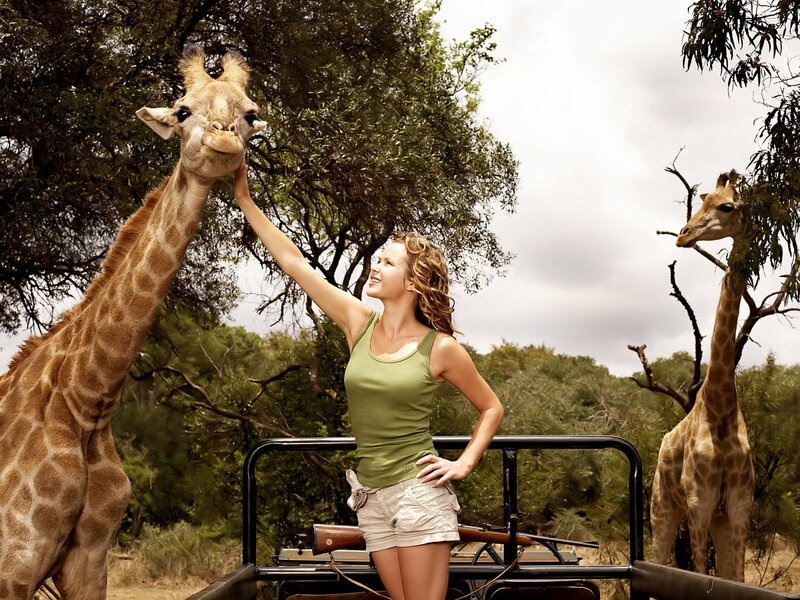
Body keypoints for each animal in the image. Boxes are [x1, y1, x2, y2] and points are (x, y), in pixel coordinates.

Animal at [0, 46, 265, 599]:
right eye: (182, 110)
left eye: (250, 115)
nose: (224, 138)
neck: (85, 403)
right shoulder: (13, 563)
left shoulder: (89, 561)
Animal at [650, 171, 755, 582]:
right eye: (703, 198)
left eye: (726, 206)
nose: (683, 234)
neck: (721, 401)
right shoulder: (698, 504)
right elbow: (697, 571)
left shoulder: (738, 509)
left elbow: (735, 579)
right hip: (662, 508)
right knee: (656, 561)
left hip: (715, 519)